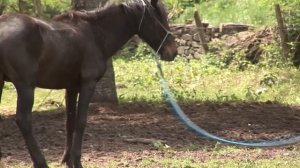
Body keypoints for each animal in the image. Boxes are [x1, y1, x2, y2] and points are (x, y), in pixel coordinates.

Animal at [0, 0, 177, 167]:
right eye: (159, 17)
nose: (172, 52)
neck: (95, 35)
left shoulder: (71, 88)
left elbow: (70, 122)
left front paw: (68, 160)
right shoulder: (88, 84)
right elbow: (81, 122)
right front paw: (77, 161)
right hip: (25, 86)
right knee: (24, 120)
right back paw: (41, 162)